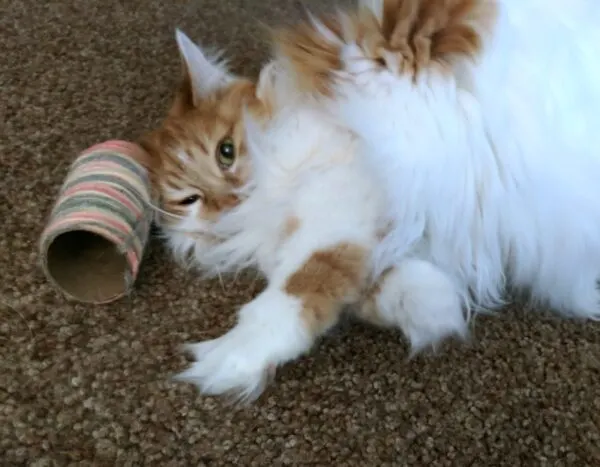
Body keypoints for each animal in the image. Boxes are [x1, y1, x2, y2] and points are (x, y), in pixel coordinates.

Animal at [145, 0, 600, 402]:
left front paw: (230, 358)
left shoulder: (343, 200)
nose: (230, 199)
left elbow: (296, 288)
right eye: (190, 199)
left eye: (225, 151)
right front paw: (433, 309)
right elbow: (381, 289)